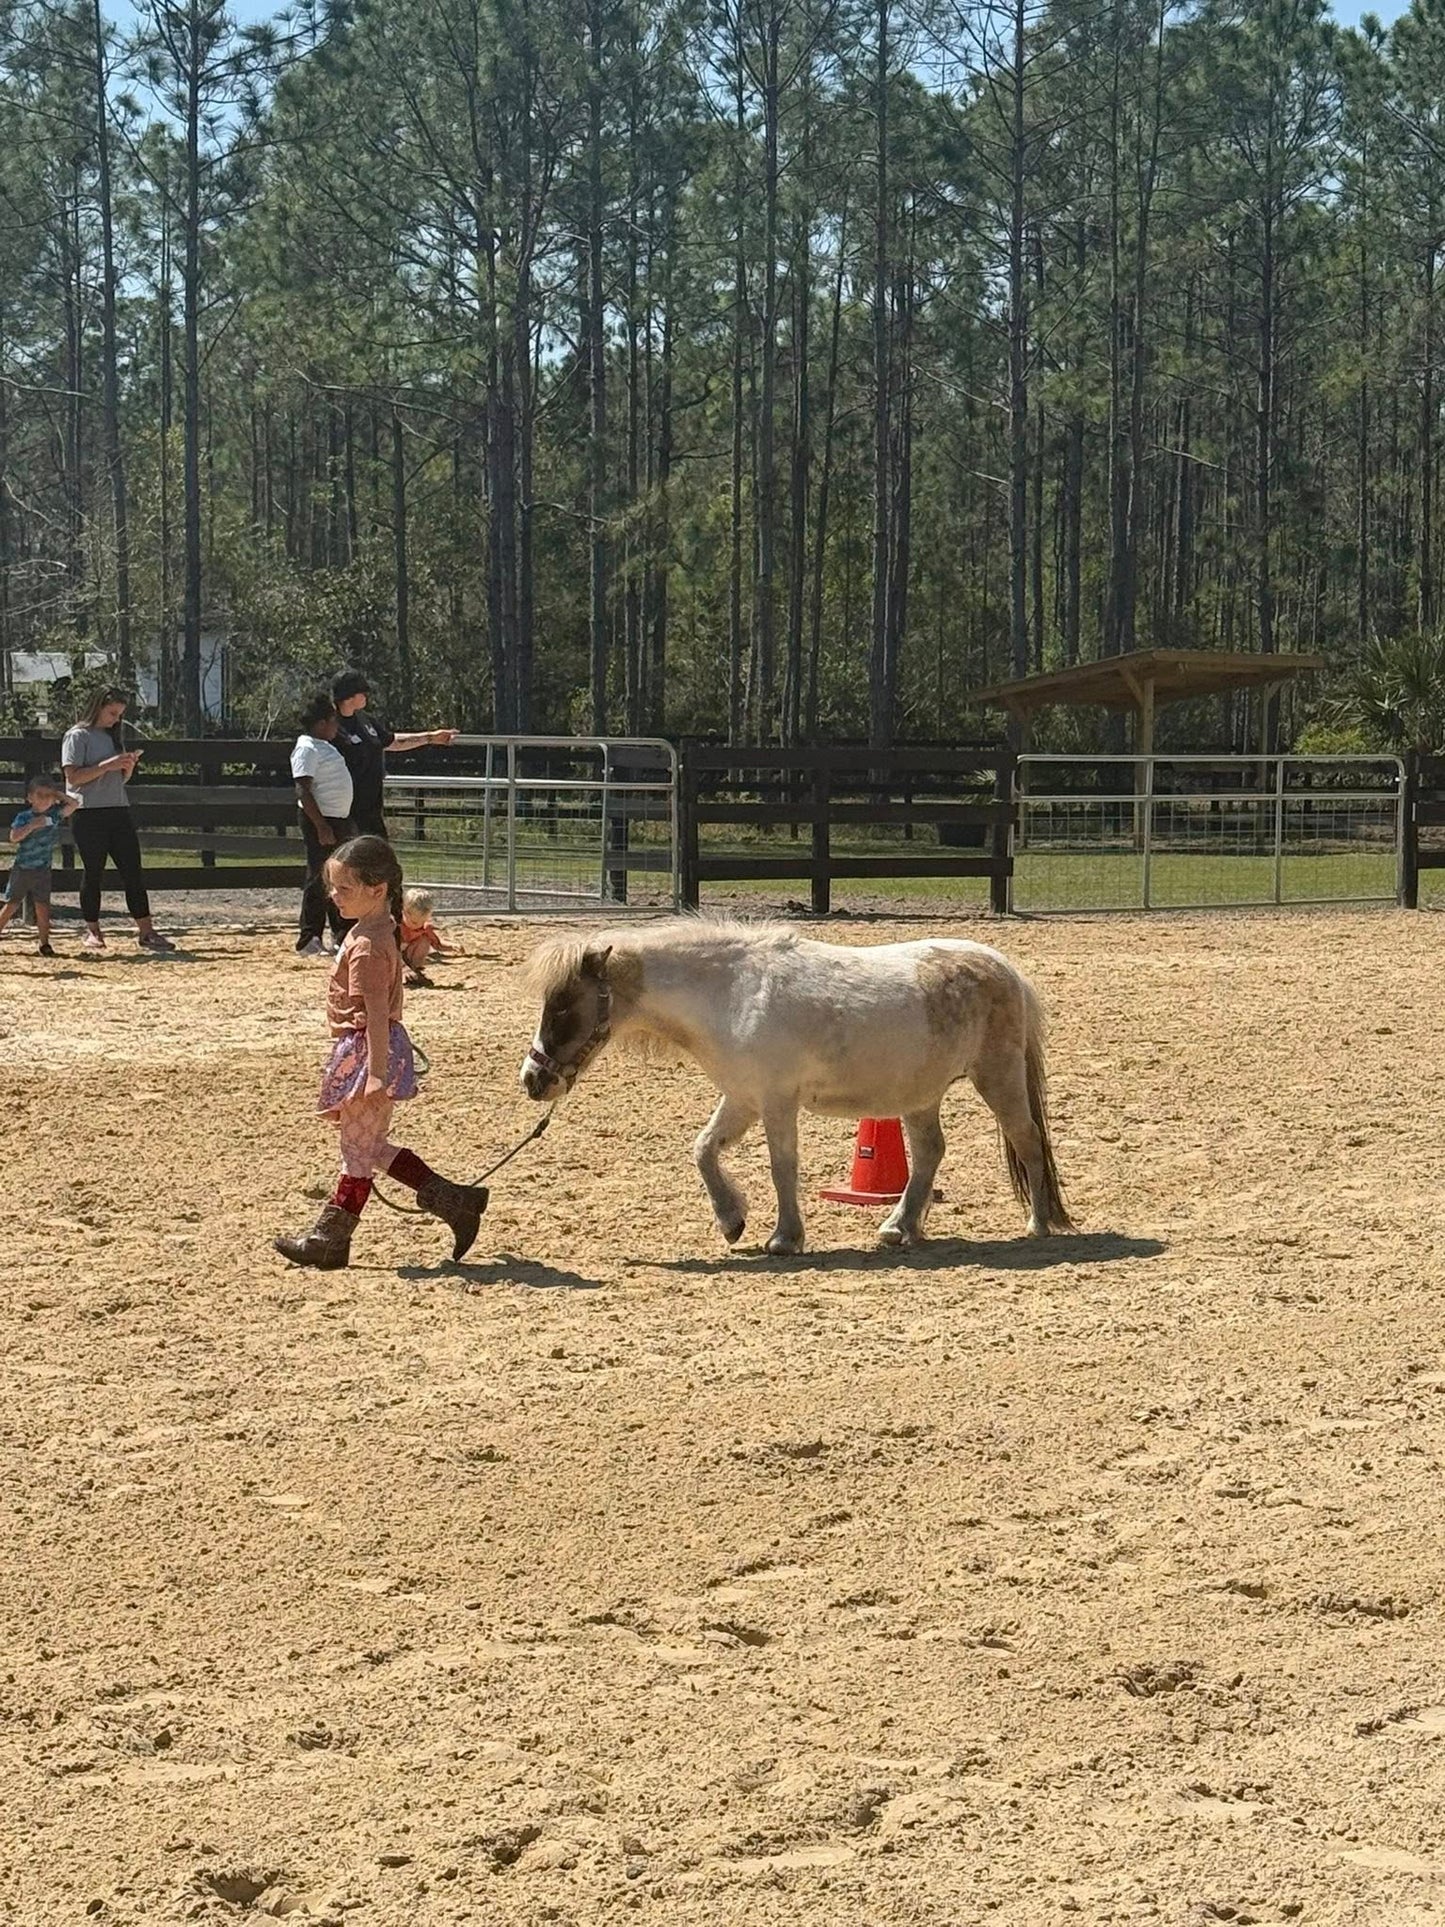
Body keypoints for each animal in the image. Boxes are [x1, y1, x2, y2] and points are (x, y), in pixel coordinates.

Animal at [518, 917, 1071, 1256]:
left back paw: (1038, 1226)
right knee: (930, 1152)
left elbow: (782, 1167)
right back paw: (899, 1227)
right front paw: (731, 1220)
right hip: (919, 1095)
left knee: (1026, 1140)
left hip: (997, 1078)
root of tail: (1007, 971)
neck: (732, 993)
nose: (533, 1080)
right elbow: (703, 1149)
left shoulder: (776, 1102)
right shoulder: (743, 1097)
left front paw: (784, 1239)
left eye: (563, 1007)